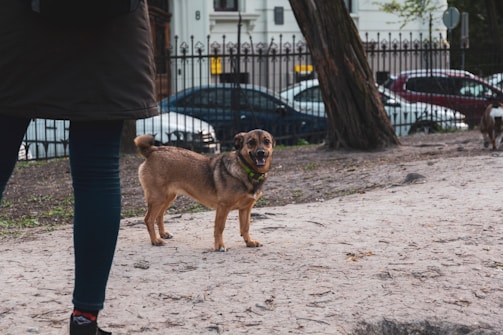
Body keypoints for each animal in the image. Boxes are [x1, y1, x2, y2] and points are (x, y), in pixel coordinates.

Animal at [135, 130, 276, 251]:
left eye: (267, 141)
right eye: (251, 142)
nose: (261, 152)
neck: (247, 171)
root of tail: (153, 150)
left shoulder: (246, 208)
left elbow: (245, 227)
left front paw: (249, 242)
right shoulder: (223, 207)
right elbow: (219, 228)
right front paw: (219, 246)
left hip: (168, 197)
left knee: (159, 216)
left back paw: (163, 234)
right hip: (158, 198)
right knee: (149, 219)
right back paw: (155, 240)